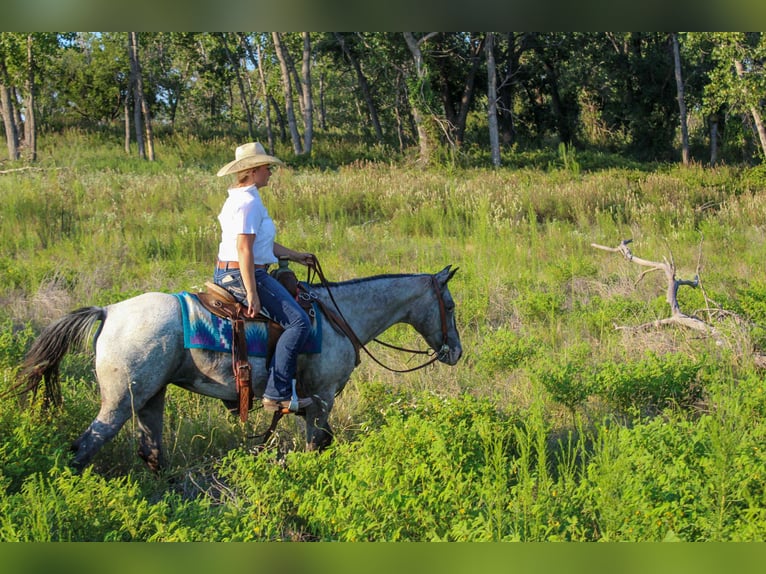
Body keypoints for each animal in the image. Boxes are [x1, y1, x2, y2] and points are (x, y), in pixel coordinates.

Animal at [13, 266, 462, 472]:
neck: (340, 317)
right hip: (119, 401)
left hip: (150, 398)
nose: (455, 352)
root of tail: (107, 312)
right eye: (451, 305)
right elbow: (317, 445)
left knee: (151, 451)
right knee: (85, 447)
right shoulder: (321, 399)